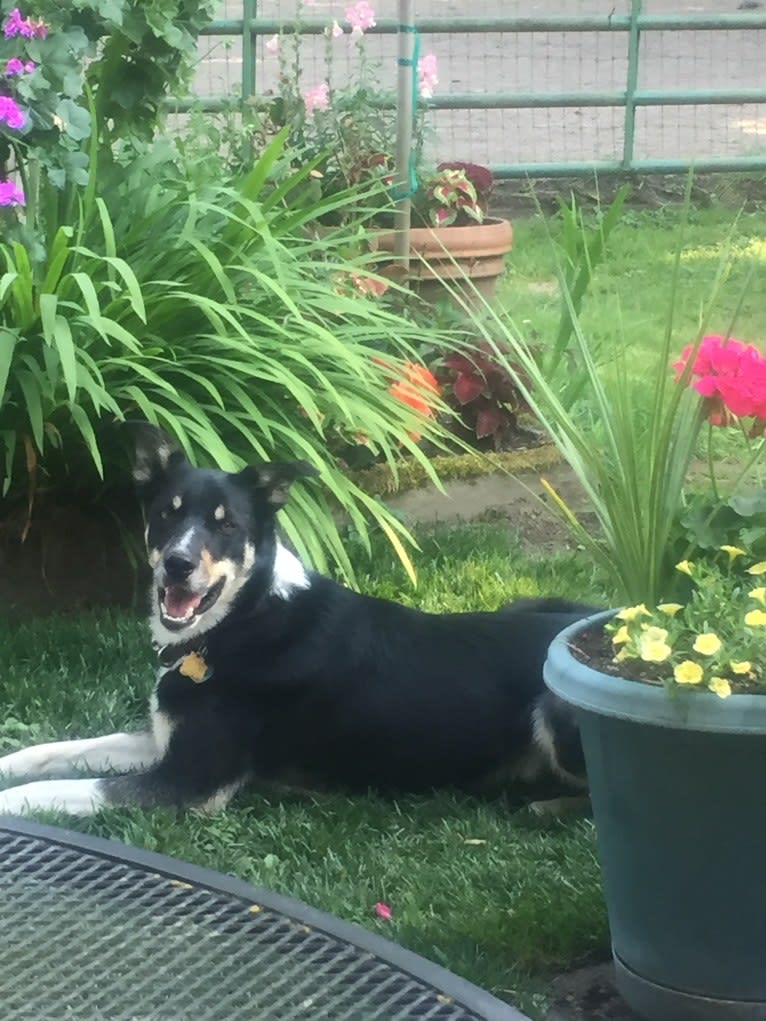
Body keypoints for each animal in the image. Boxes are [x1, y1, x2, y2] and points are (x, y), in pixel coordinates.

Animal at [0, 420, 596, 812]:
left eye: (227, 525)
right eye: (167, 515)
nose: (177, 565)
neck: (245, 617)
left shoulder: (189, 781)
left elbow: (54, 790)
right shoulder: (160, 740)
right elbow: (59, 751)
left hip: (558, 708)